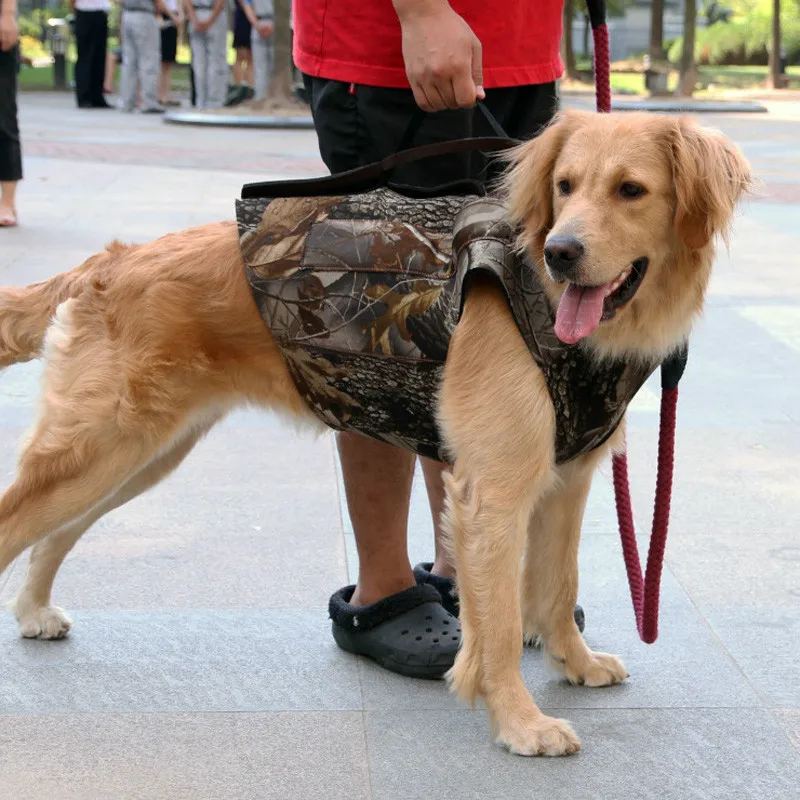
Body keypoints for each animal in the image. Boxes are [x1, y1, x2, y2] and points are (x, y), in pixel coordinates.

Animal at [0, 109, 748, 752]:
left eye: (631, 190)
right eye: (564, 187)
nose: (562, 251)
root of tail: (108, 260)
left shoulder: (564, 481)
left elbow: (557, 586)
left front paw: (575, 662)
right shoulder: (495, 493)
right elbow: (501, 624)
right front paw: (520, 723)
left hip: (140, 455)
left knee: (55, 536)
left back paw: (35, 611)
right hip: (100, 448)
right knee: (19, 526)